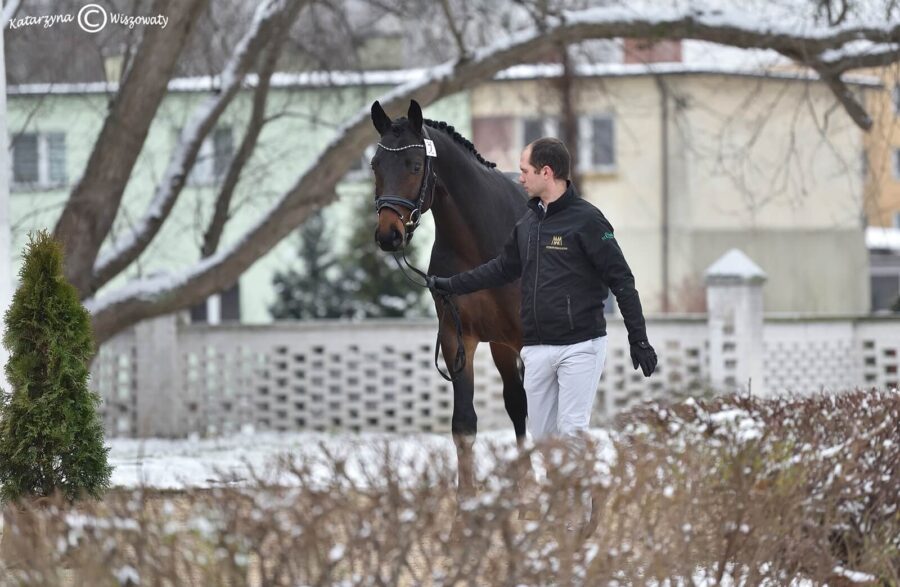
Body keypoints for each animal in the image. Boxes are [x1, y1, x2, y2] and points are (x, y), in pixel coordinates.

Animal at [370, 101, 528, 496]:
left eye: (414, 165)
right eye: (375, 164)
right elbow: (464, 425)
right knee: (516, 402)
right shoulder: (458, 338)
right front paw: (466, 501)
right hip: (501, 345)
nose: (389, 235)